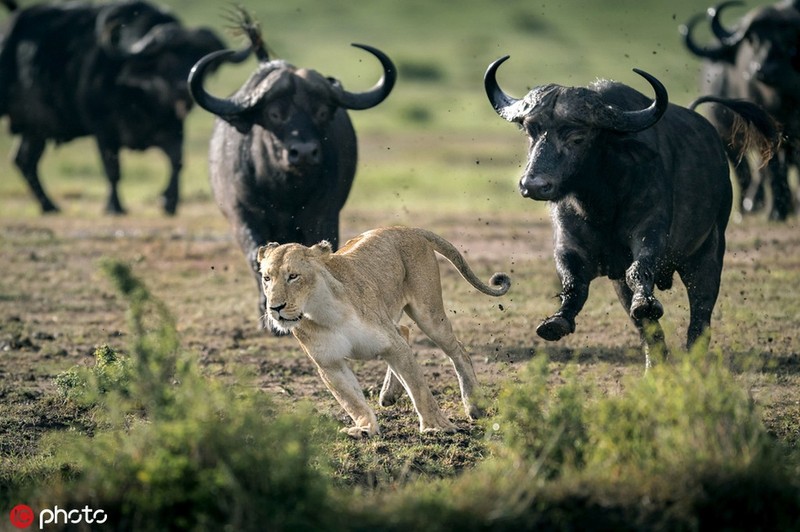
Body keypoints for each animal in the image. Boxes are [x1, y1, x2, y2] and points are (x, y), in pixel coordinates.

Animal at [0, 2, 225, 215]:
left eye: (198, 56)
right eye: (167, 58)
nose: (182, 90)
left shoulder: (173, 128)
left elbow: (176, 163)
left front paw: (169, 203)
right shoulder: (103, 131)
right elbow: (113, 169)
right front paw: (114, 207)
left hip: (35, 128)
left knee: (25, 160)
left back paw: (49, 206)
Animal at [191, 29, 396, 330]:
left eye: (321, 111)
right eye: (274, 113)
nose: (304, 152)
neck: (285, 191)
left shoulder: (324, 214)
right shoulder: (243, 216)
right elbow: (258, 260)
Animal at [484, 57, 780, 366]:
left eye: (578, 137)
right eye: (531, 131)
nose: (533, 184)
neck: (602, 204)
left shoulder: (651, 231)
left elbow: (639, 269)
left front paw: (646, 303)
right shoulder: (570, 243)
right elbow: (573, 281)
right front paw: (556, 322)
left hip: (708, 252)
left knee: (701, 313)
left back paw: (693, 359)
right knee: (649, 330)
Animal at [680, 0, 800, 220]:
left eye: (789, 38)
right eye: (753, 39)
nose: (763, 70)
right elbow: (772, 168)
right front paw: (776, 211)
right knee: (746, 171)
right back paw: (751, 206)